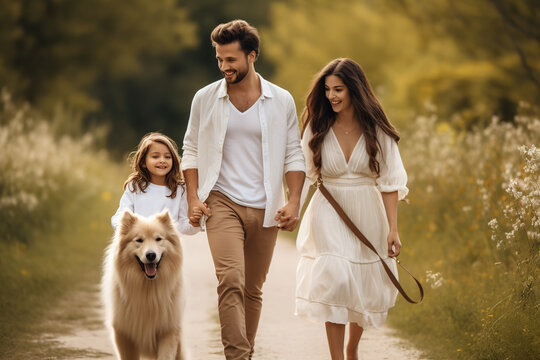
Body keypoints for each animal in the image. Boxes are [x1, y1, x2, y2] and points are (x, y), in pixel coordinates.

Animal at [101, 210, 186, 358]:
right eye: (139, 240)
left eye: (158, 239)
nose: (151, 255)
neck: (147, 289)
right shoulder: (123, 334)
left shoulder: (167, 330)